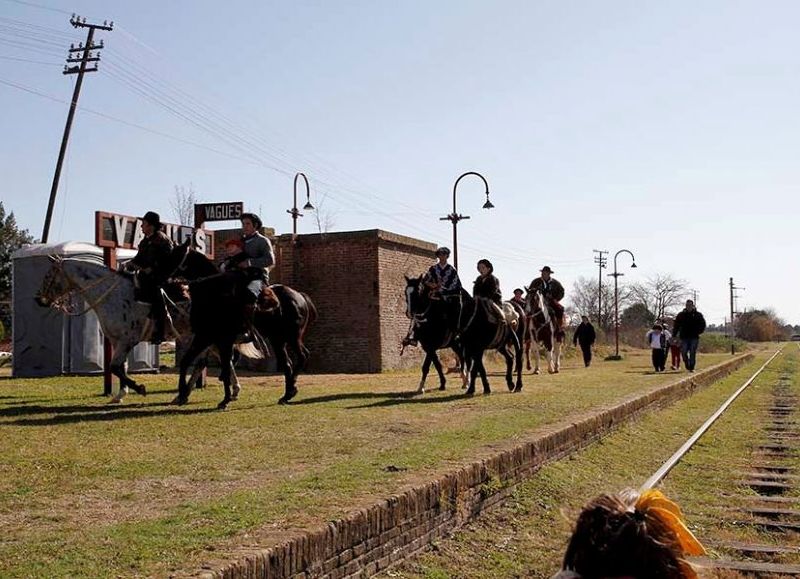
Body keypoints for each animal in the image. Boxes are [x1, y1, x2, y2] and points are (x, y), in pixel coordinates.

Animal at [171, 247, 316, 406]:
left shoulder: (216, 340)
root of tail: (300, 296)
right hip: (278, 340)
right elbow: (197, 362)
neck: (215, 293)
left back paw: (291, 389)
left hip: (292, 336)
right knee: (287, 363)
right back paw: (287, 394)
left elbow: (219, 364)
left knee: (302, 356)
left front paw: (226, 396)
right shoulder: (210, 340)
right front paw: (183, 394)